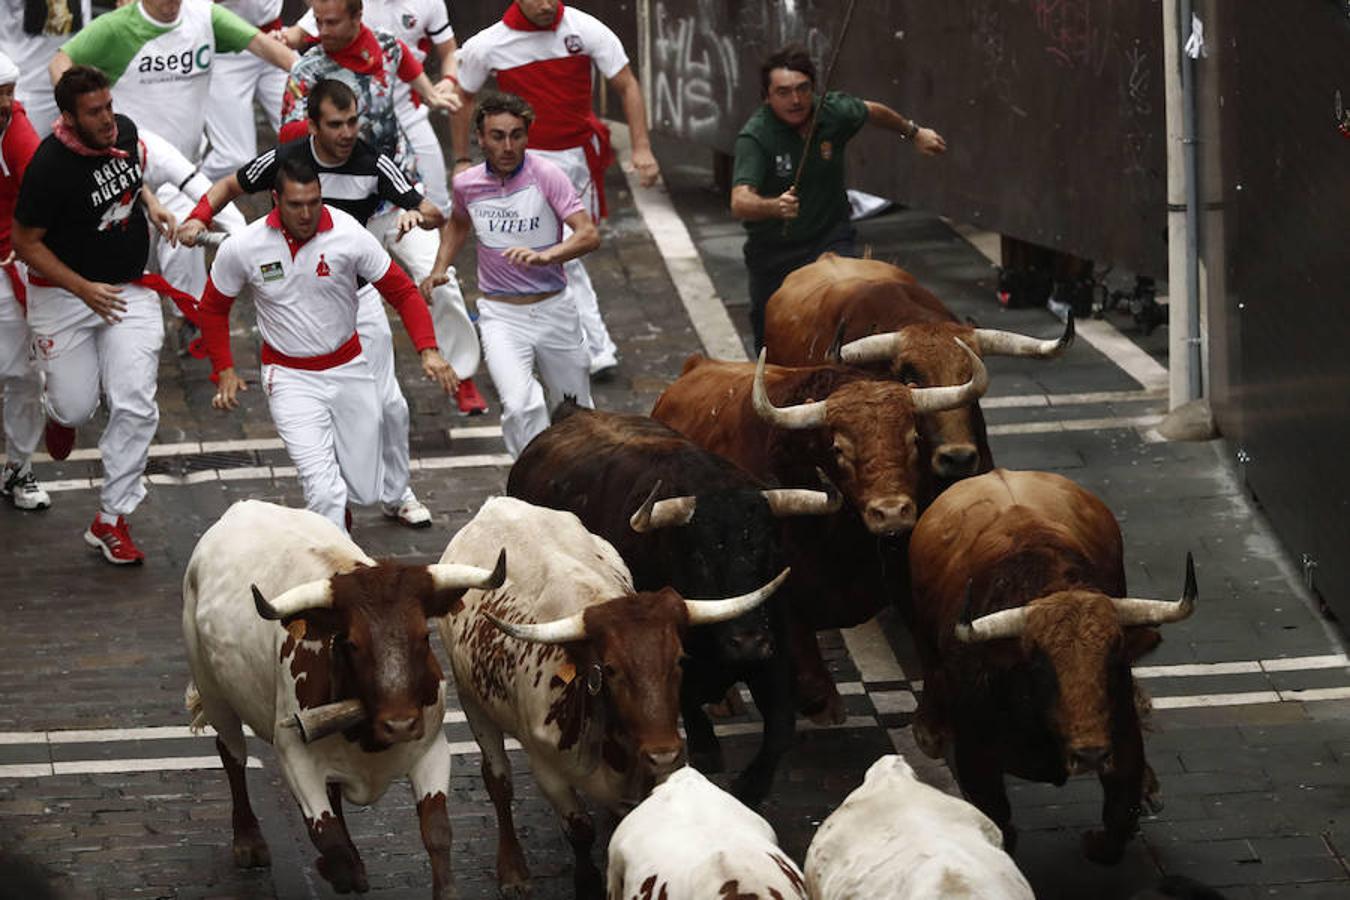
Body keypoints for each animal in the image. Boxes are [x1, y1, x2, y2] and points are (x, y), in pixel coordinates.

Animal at [184, 499, 507, 900]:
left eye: (423, 636)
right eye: (352, 643)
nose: (400, 724)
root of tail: (241, 507)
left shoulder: (432, 750)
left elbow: (437, 832)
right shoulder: (294, 754)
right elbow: (327, 836)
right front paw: (343, 870)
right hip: (214, 693)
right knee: (231, 755)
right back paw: (248, 840)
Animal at [907, 469, 1193, 863]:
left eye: (1114, 658)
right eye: (1038, 666)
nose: (1090, 754)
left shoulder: (1122, 735)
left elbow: (1120, 814)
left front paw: (1100, 840)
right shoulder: (976, 758)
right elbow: (999, 822)